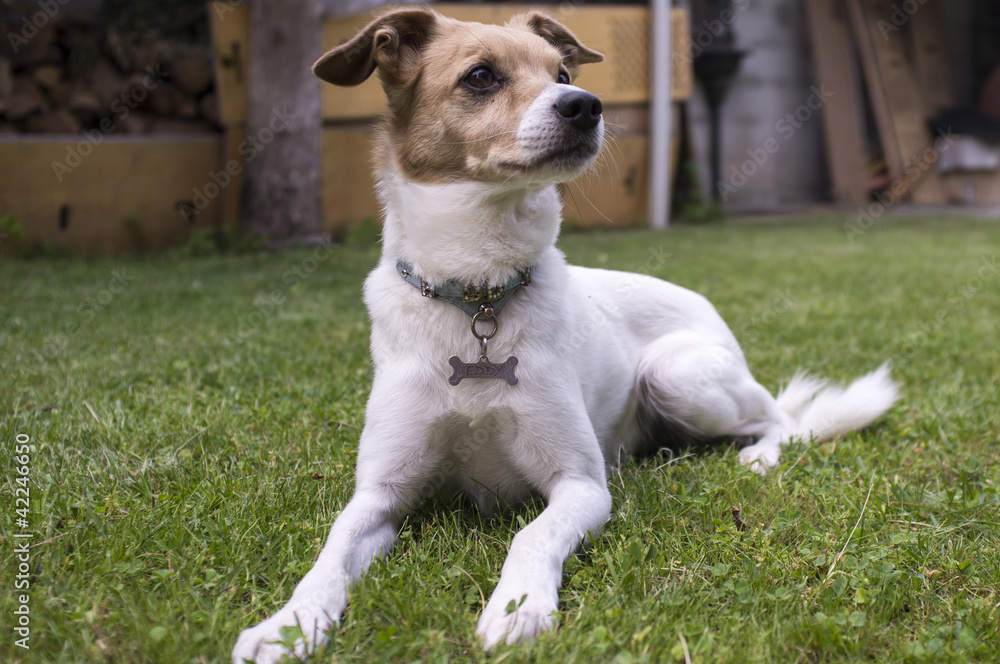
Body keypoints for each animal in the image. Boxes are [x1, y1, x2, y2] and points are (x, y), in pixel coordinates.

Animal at [232, 7, 900, 660]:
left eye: (560, 72)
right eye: (481, 76)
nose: (586, 104)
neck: (479, 294)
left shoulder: (580, 485)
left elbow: (530, 536)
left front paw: (518, 606)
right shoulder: (378, 493)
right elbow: (328, 557)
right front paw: (288, 624)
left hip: (677, 375)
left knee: (781, 419)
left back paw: (759, 454)